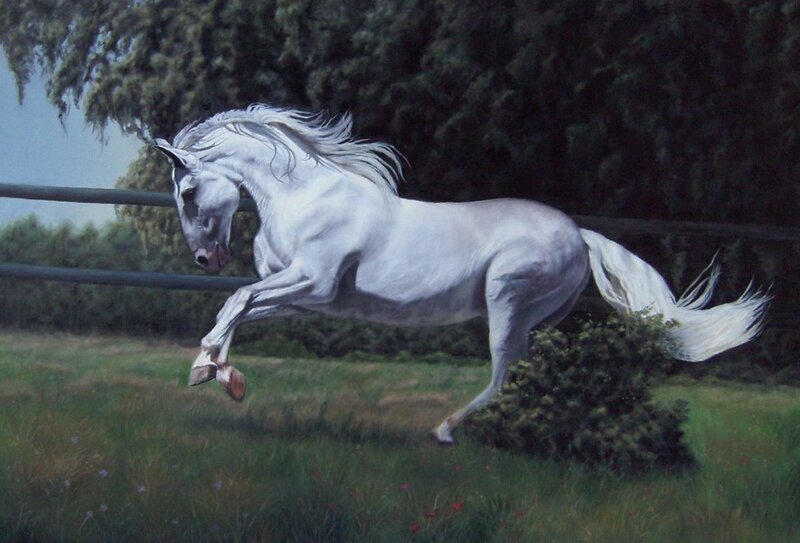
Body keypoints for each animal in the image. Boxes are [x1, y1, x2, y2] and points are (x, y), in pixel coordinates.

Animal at [153, 104, 769, 443]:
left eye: (187, 193)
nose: (205, 261)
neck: (308, 197)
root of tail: (580, 234)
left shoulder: (316, 281)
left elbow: (236, 299)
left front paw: (206, 369)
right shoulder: (306, 297)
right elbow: (239, 305)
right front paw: (221, 374)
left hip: (507, 303)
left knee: (502, 373)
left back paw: (446, 431)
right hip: (534, 318)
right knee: (522, 374)